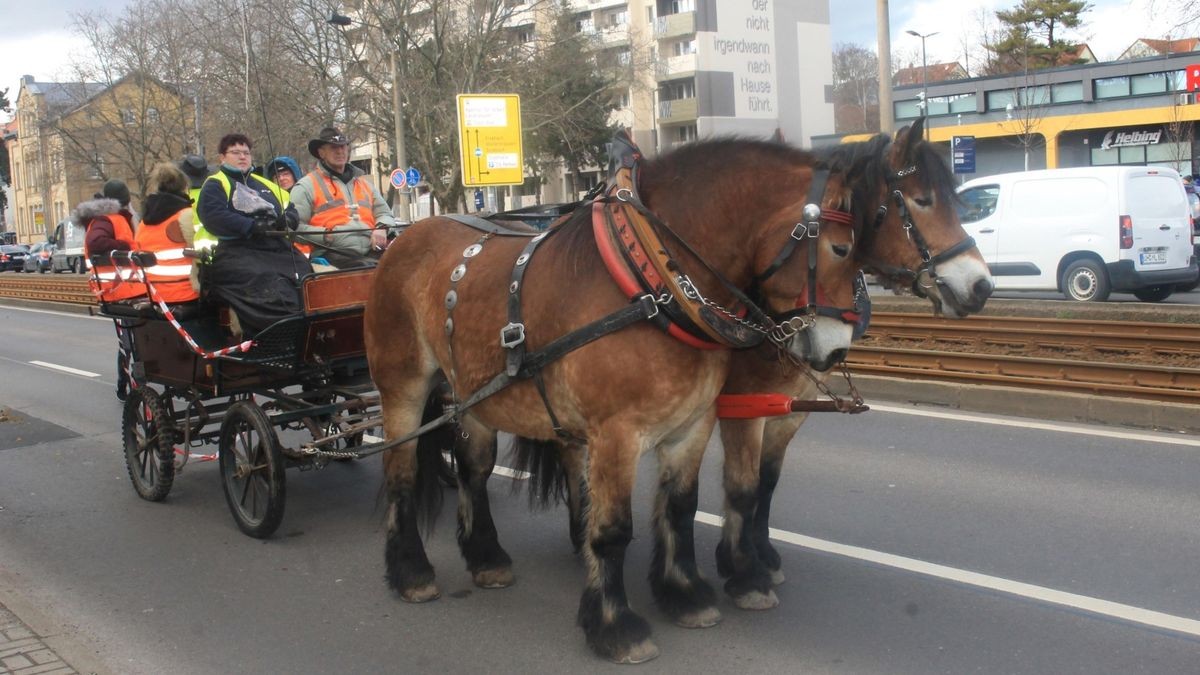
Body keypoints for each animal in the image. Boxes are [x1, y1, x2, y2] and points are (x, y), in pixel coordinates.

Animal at [364, 133, 873, 658]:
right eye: (841, 248)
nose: (837, 348)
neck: (655, 285)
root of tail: (406, 236)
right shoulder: (616, 435)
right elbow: (611, 530)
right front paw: (614, 624)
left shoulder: (692, 426)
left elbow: (680, 508)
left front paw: (684, 595)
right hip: (402, 388)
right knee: (402, 473)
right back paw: (410, 571)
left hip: (472, 391)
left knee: (474, 470)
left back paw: (486, 557)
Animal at [523, 118, 993, 607]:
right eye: (922, 200)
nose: (981, 286)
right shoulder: (742, 407)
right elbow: (742, 487)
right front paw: (742, 569)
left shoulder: (786, 410)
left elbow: (766, 482)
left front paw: (761, 553)